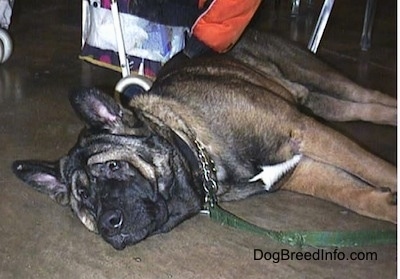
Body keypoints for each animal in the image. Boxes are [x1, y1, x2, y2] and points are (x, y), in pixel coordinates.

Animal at [10, 29, 396, 250]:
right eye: (84, 198)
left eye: (115, 166)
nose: (108, 225)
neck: (199, 149)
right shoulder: (301, 170)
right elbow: (358, 196)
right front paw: (387, 205)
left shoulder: (304, 130)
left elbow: (376, 169)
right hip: (322, 103)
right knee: (365, 108)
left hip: (319, 78)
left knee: (372, 96)